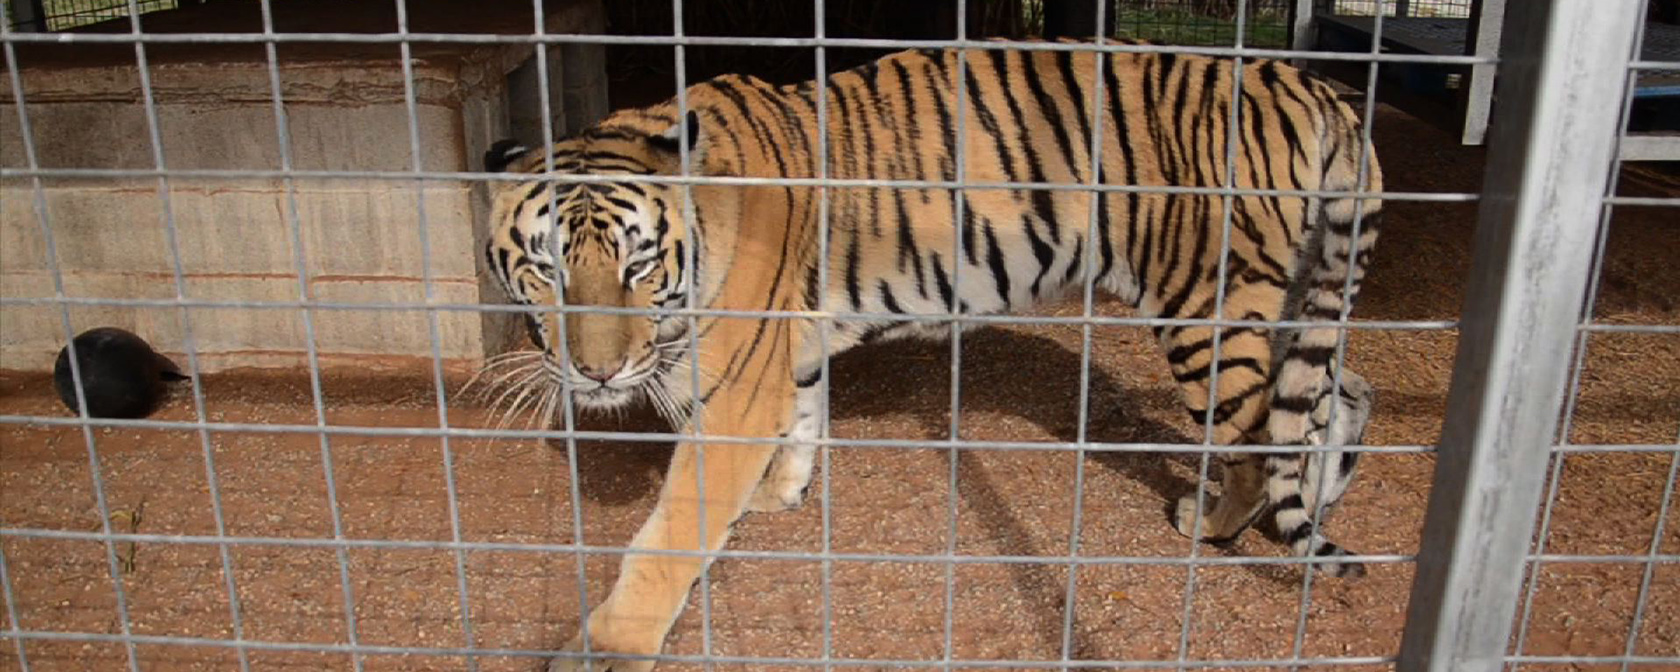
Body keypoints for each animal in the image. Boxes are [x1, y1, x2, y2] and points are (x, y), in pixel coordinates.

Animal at [473, 42, 1377, 672]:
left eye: (637, 265)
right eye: (547, 269)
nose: (594, 373)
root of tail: (1307, 83)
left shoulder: (733, 394)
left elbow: (666, 533)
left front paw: (607, 646)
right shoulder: (785, 357)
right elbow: (804, 417)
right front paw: (782, 492)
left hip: (1208, 306)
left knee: (1258, 437)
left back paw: (1214, 524)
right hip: (1291, 292)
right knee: (1337, 397)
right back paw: (1315, 498)